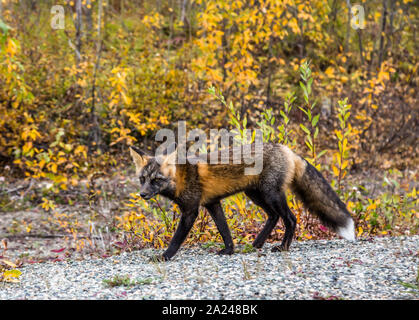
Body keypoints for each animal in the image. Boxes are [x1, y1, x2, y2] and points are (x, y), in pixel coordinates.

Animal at [130, 142, 356, 260]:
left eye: (156, 180)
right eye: (143, 179)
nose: (143, 194)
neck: (182, 178)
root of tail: (285, 148)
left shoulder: (191, 211)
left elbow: (176, 239)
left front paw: (164, 256)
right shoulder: (213, 203)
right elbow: (224, 230)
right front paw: (229, 250)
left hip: (271, 195)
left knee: (290, 219)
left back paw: (283, 247)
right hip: (255, 195)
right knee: (273, 217)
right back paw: (257, 243)